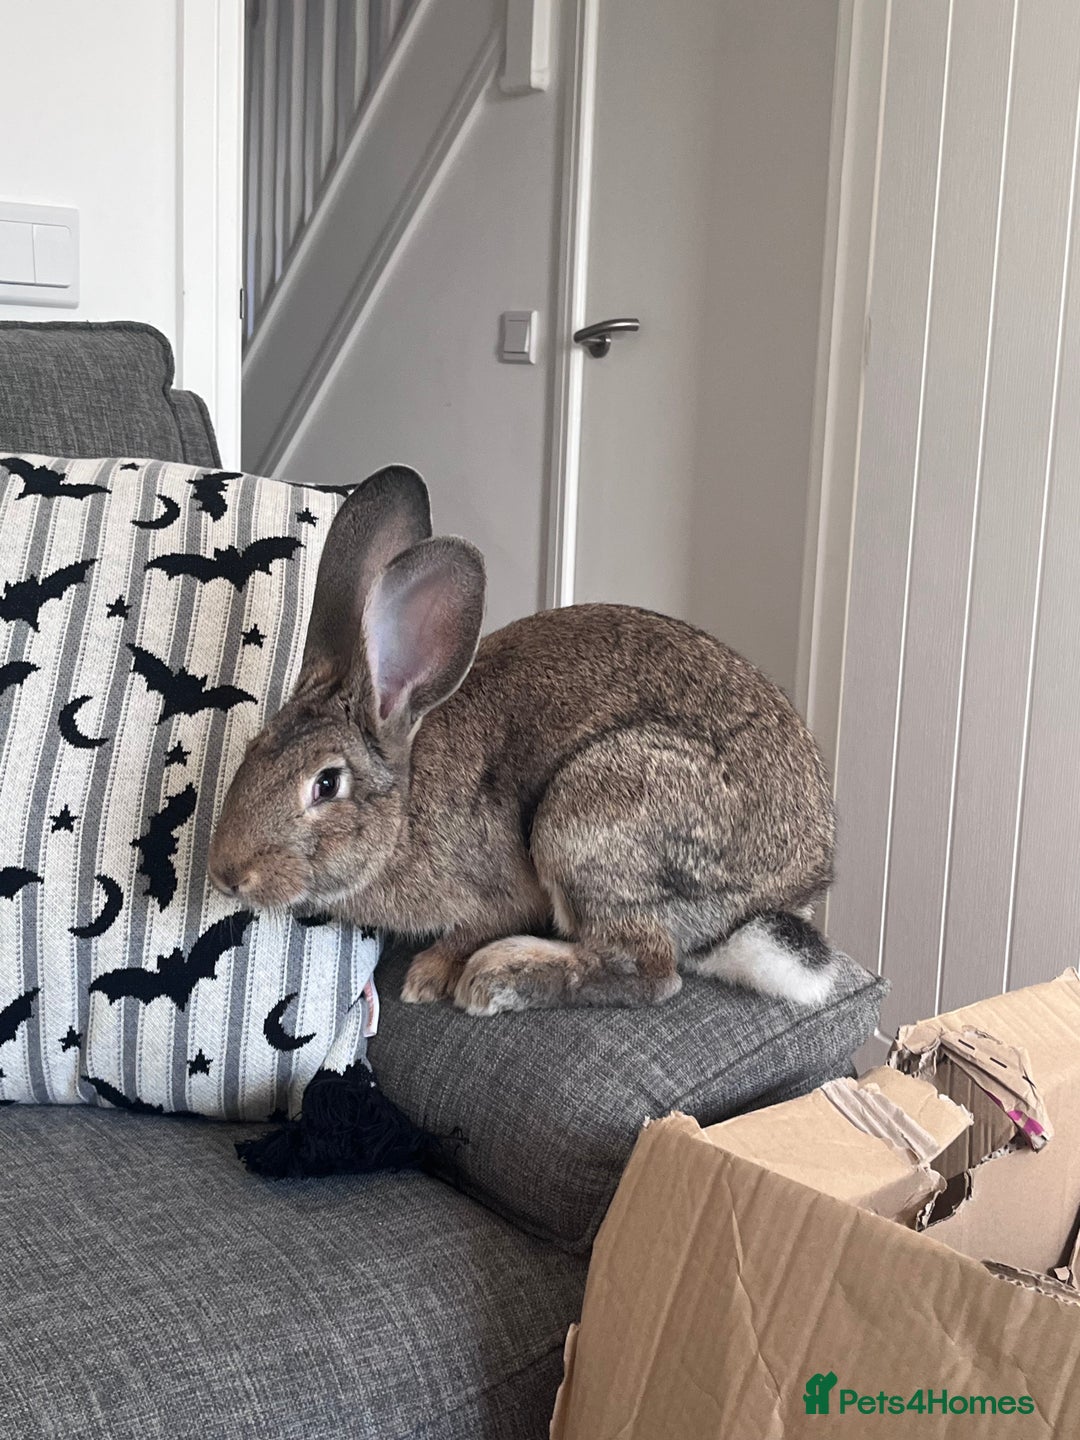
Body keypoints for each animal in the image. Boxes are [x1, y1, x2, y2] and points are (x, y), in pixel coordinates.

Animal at [208, 464, 838, 1016]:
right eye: (252, 750)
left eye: (326, 783)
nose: (227, 874)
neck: (404, 808)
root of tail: (790, 889)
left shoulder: (501, 887)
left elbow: (479, 925)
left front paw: (429, 976)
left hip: (590, 813)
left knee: (650, 969)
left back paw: (498, 979)